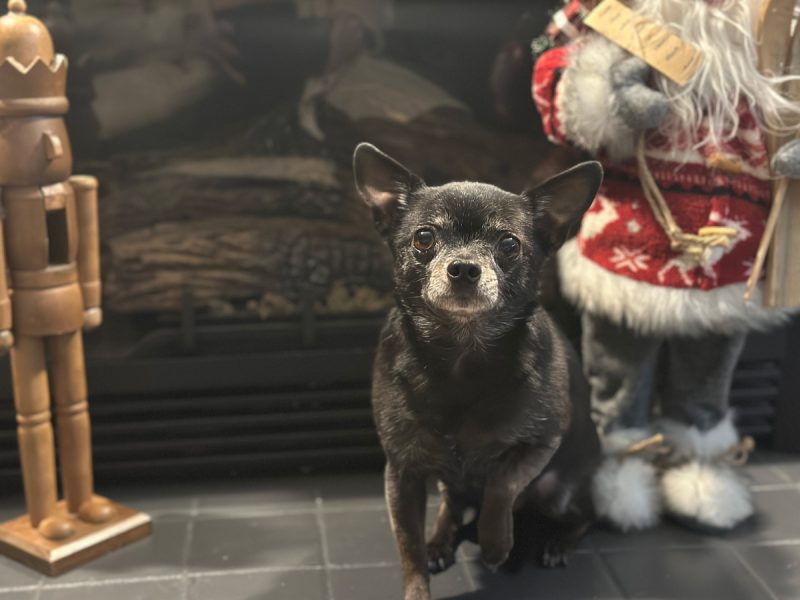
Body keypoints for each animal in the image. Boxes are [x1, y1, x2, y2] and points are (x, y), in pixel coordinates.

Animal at [354, 144, 604, 600]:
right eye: (424, 238)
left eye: (509, 244)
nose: (465, 268)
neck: (459, 357)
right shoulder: (402, 474)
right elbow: (409, 551)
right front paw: (422, 572)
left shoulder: (542, 443)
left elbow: (501, 484)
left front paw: (495, 543)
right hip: (443, 479)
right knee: (453, 504)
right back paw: (440, 540)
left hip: (559, 490)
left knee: (586, 515)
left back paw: (555, 543)